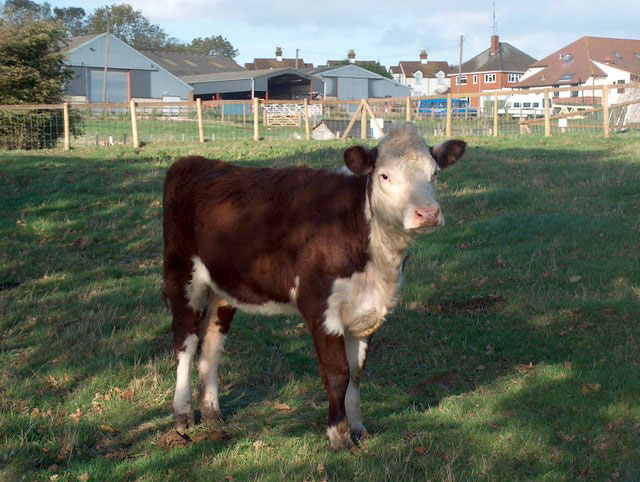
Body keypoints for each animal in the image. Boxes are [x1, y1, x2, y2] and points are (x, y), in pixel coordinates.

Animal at [161, 126, 464, 450]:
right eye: (385, 176)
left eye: (434, 173)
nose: (427, 213)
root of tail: (196, 161)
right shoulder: (320, 306)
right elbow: (337, 372)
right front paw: (339, 435)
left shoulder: (366, 312)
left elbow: (356, 373)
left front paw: (357, 427)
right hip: (181, 273)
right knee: (185, 341)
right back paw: (182, 415)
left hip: (225, 283)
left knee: (212, 342)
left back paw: (212, 412)